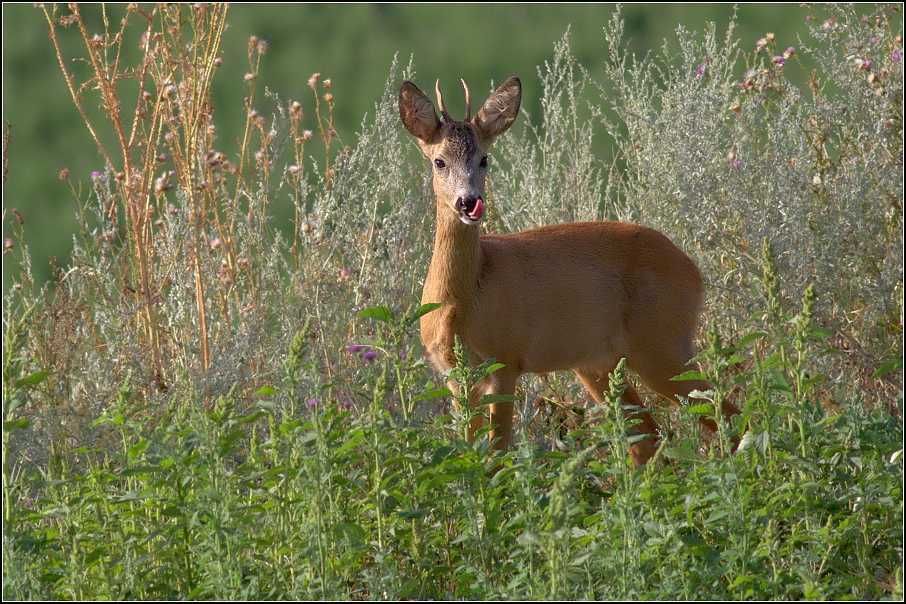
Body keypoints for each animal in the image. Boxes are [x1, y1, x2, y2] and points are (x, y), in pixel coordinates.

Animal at [400, 78, 740, 468]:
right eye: (438, 161)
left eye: (484, 159)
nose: (469, 202)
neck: (463, 300)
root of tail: (694, 271)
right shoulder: (455, 374)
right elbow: (468, 452)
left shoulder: (505, 360)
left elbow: (497, 456)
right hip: (600, 363)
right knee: (648, 438)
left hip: (663, 342)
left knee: (728, 417)